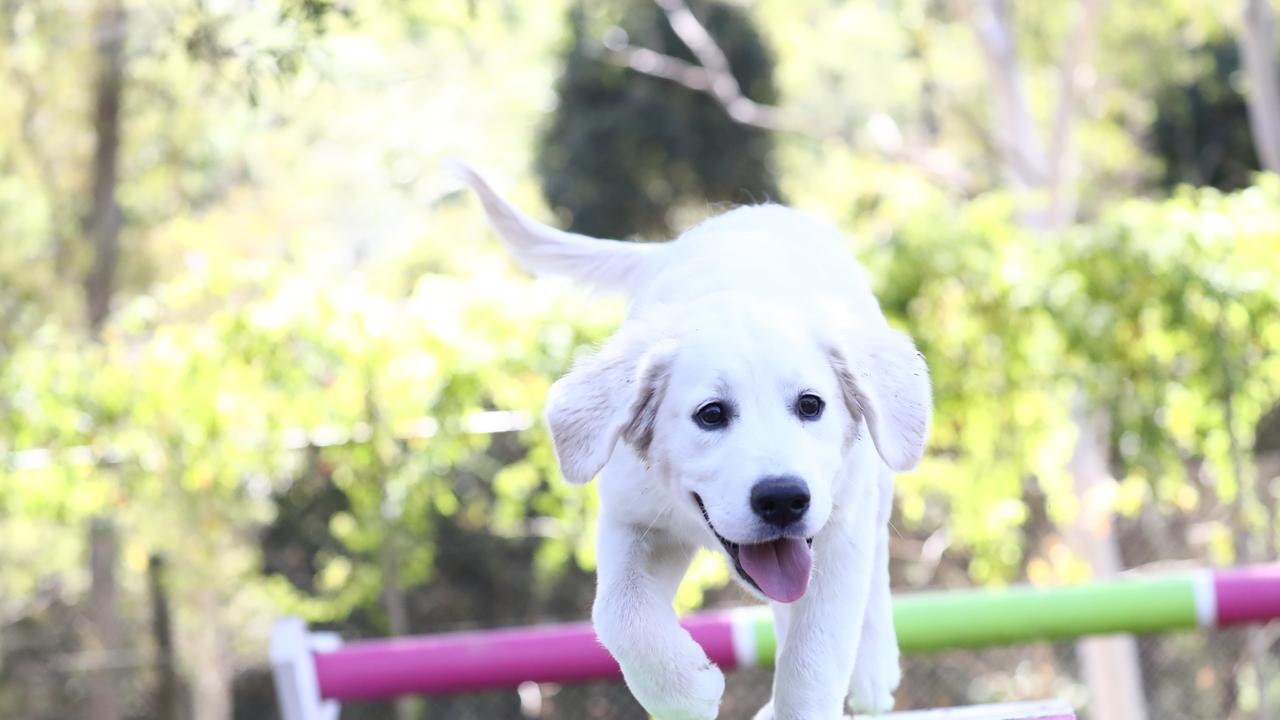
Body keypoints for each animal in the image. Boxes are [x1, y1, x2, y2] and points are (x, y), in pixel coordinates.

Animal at [458, 165, 931, 712]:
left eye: (811, 406)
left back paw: (872, 670)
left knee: (872, 560)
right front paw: (685, 692)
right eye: (711, 415)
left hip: (871, 477)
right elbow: (618, 613)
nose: (783, 499)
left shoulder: (839, 529)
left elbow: (815, 656)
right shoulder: (631, 518)